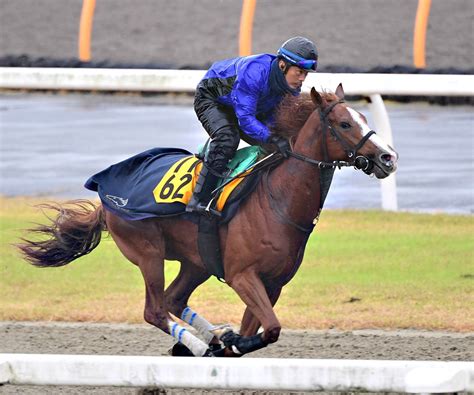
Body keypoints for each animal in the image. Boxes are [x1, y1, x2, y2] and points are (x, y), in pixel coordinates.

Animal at [17, 86, 396, 358]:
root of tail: (104, 196)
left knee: (172, 300)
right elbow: (270, 329)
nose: (387, 157)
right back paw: (199, 344)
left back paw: (211, 335)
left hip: (196, 260)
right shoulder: (243, 276)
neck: (277, 201)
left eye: (364, 117)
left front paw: (230, 340)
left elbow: (260, 329)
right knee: (155, 310)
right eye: (345, 123)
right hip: (148, 252)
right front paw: (228, 342)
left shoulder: (272, 284)